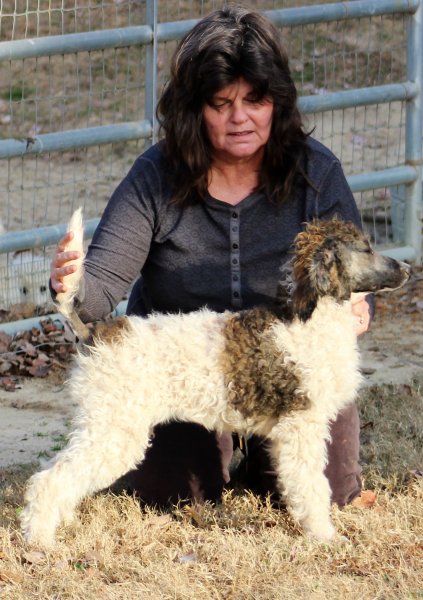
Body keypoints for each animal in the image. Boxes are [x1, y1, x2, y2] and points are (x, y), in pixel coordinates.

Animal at [21, 210, 410, 547]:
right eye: (367, 248)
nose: (407, 268)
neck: (312, 317)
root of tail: (96, 334)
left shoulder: (288, 434)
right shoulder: (302, 429)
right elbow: (312, 486)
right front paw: (324, 535)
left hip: (101, 427)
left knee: (56, 472)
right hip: (112, 432)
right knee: (48, 480)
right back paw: (40, 542)